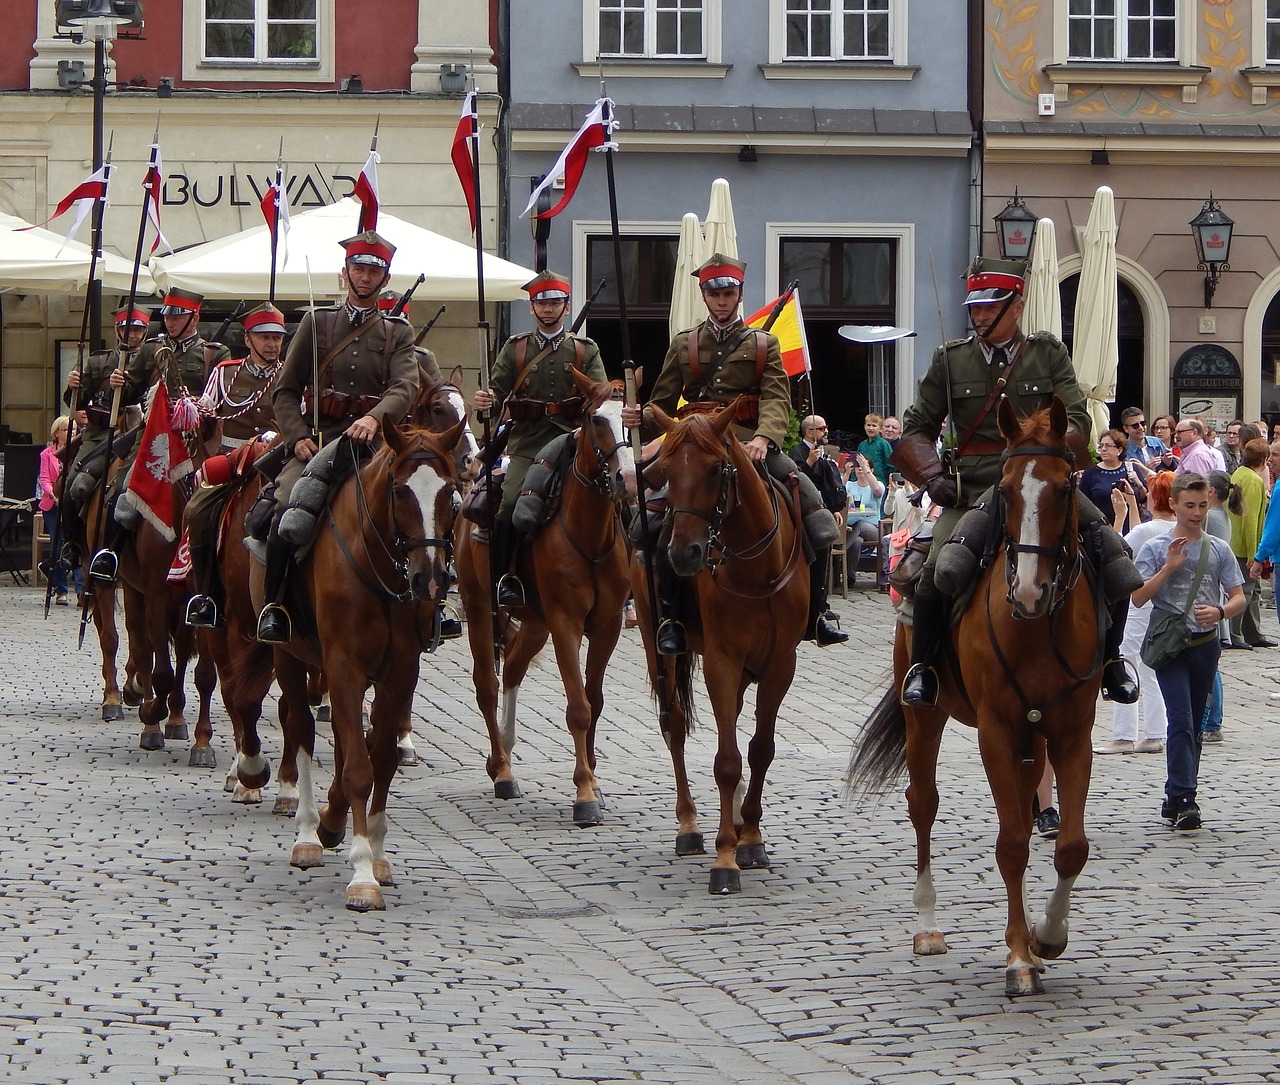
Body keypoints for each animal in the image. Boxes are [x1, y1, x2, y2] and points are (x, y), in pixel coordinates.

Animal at [262, 419, 463, 910]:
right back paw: (308, 832)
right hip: (289, 657)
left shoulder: (400, 673)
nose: (430, 579)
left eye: (450, 491)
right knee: (300, 729)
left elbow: (382, 758)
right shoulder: (344, 667)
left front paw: (374, 850)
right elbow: (357, 768)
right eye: (399, 490)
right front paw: (361, 874)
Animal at [453, 368, 637, 823]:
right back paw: (502, 771)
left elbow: (595, 701)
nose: (627, 480)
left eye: (634, 417)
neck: (589, 535)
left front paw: (595, 783)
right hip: (479, 606)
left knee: (514, 669)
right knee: (488, 683)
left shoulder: (607, 626)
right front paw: (585, 793)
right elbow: (578, 708)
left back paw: (502, 753)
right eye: (597, 419)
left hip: (534, 622)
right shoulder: (565, 624)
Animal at [629, 401, 808, 895]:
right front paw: (725, 859)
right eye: (666, 469)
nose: (683, 555)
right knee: (673, 724)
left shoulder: (780, 666)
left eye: (714, 469)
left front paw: (751, 839)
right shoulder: (721, 664)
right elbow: (726, 760)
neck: (757, 570)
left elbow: (761, 750)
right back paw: (689, 827)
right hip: (658, 646)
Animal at [844, 394, 1105, 997]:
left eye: (1064, 486)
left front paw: (1046, 938)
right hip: (925, 717)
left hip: (1033, 740)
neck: (1036, 628)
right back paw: (927, 926)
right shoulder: (995, 732)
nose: (1029, 590)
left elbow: (1069, 847)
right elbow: (1010, 846)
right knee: (923, 804)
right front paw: (1019, 959)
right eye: (1005, 490)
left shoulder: (1070, 734)